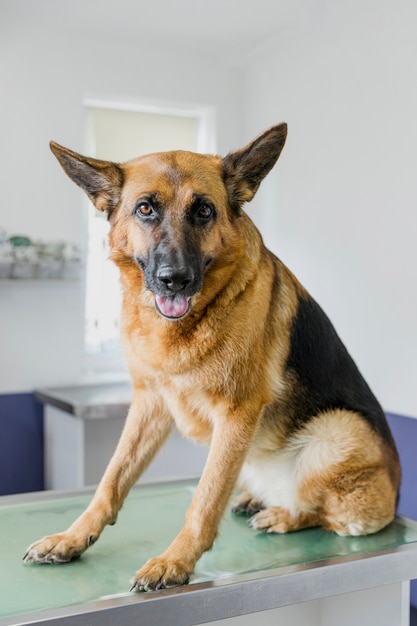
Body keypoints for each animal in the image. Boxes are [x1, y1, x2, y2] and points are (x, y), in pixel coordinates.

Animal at [23, 123, 400, 588]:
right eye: (145, 209)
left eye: (204, 211)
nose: (175, 279)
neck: (183, 326)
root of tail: (396, 488)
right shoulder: (150, 404)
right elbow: (110, 480)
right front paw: (73, 537)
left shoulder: (235, 416)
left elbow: (204, 498)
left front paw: (176, 561)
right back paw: (256, 499)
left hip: (336, 433)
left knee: (325, 512)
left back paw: (282, 514)